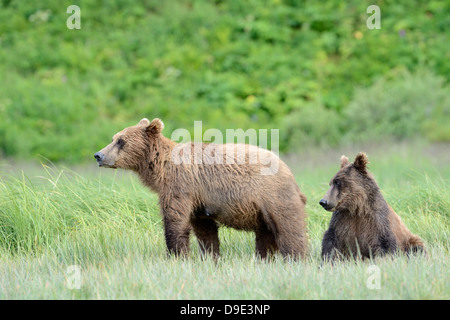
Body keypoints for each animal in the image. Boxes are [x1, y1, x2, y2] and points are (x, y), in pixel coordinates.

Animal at [93, 117, 308, 260]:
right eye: (113, 138)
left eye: (121, 141)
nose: (98, 155)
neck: (162, 169)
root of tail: (289, 172)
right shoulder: (200, 199)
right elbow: (205, 231)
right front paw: (210, 257)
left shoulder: (181, 186)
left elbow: (175, 221)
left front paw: (176, 255)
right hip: (261, 212)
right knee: (265, 236)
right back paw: (264, 259)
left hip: (273, 197)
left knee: (289, 228)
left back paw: (296, 258)